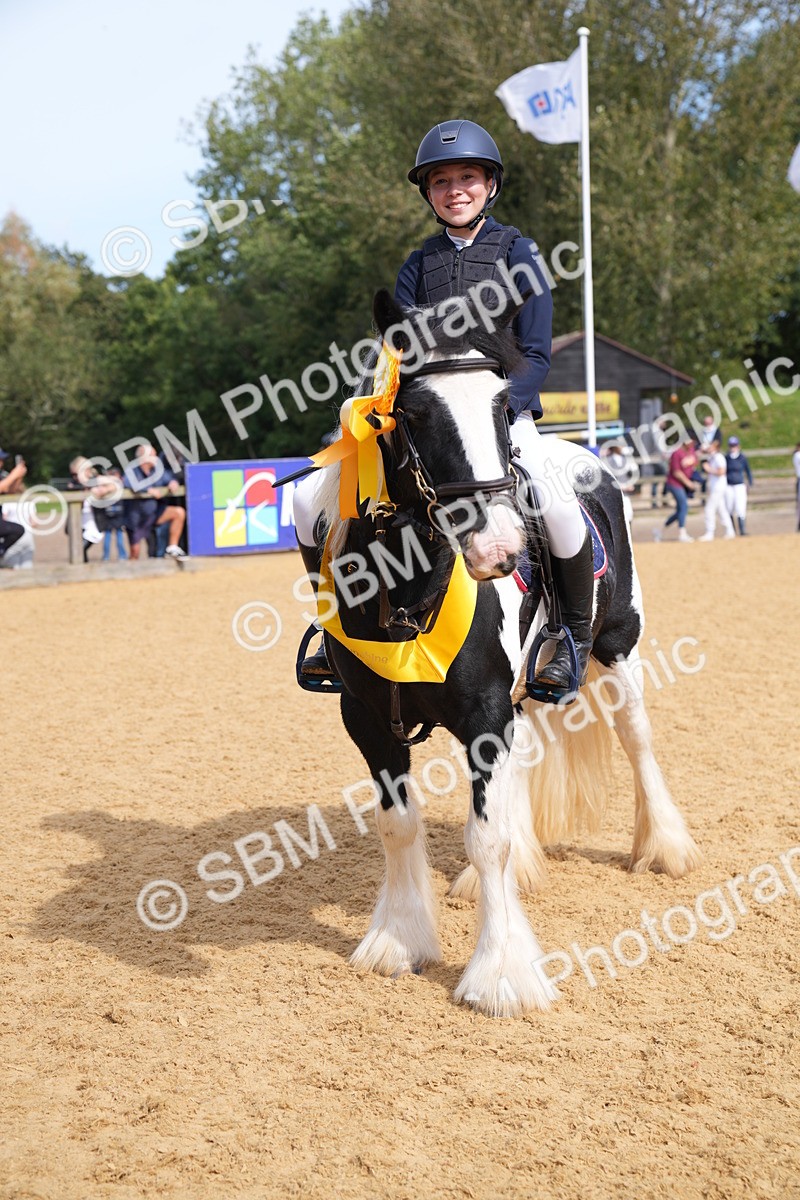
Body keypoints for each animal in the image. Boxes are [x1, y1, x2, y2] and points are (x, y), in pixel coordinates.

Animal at [302, 288, 701, 1018]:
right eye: (413, 412)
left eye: (499, 403)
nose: (498, 549)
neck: (410, 592)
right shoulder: (370, 719)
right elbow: (399, 825)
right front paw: (397, 940)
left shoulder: (485, 711)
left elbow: (487, 838)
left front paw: (500, 973)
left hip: (617, 648)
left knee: (636, 738)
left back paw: (664, 849)